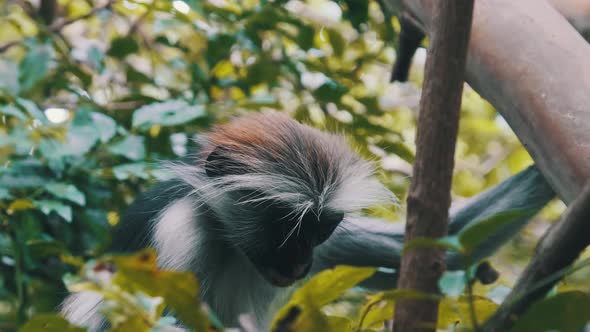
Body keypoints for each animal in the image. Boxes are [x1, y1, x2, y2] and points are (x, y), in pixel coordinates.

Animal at [62, 112, 556, 330]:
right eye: (283, 224)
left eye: (319, 229)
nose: (300, 263)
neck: (228, 241)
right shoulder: (177, 230)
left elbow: (444, 248)